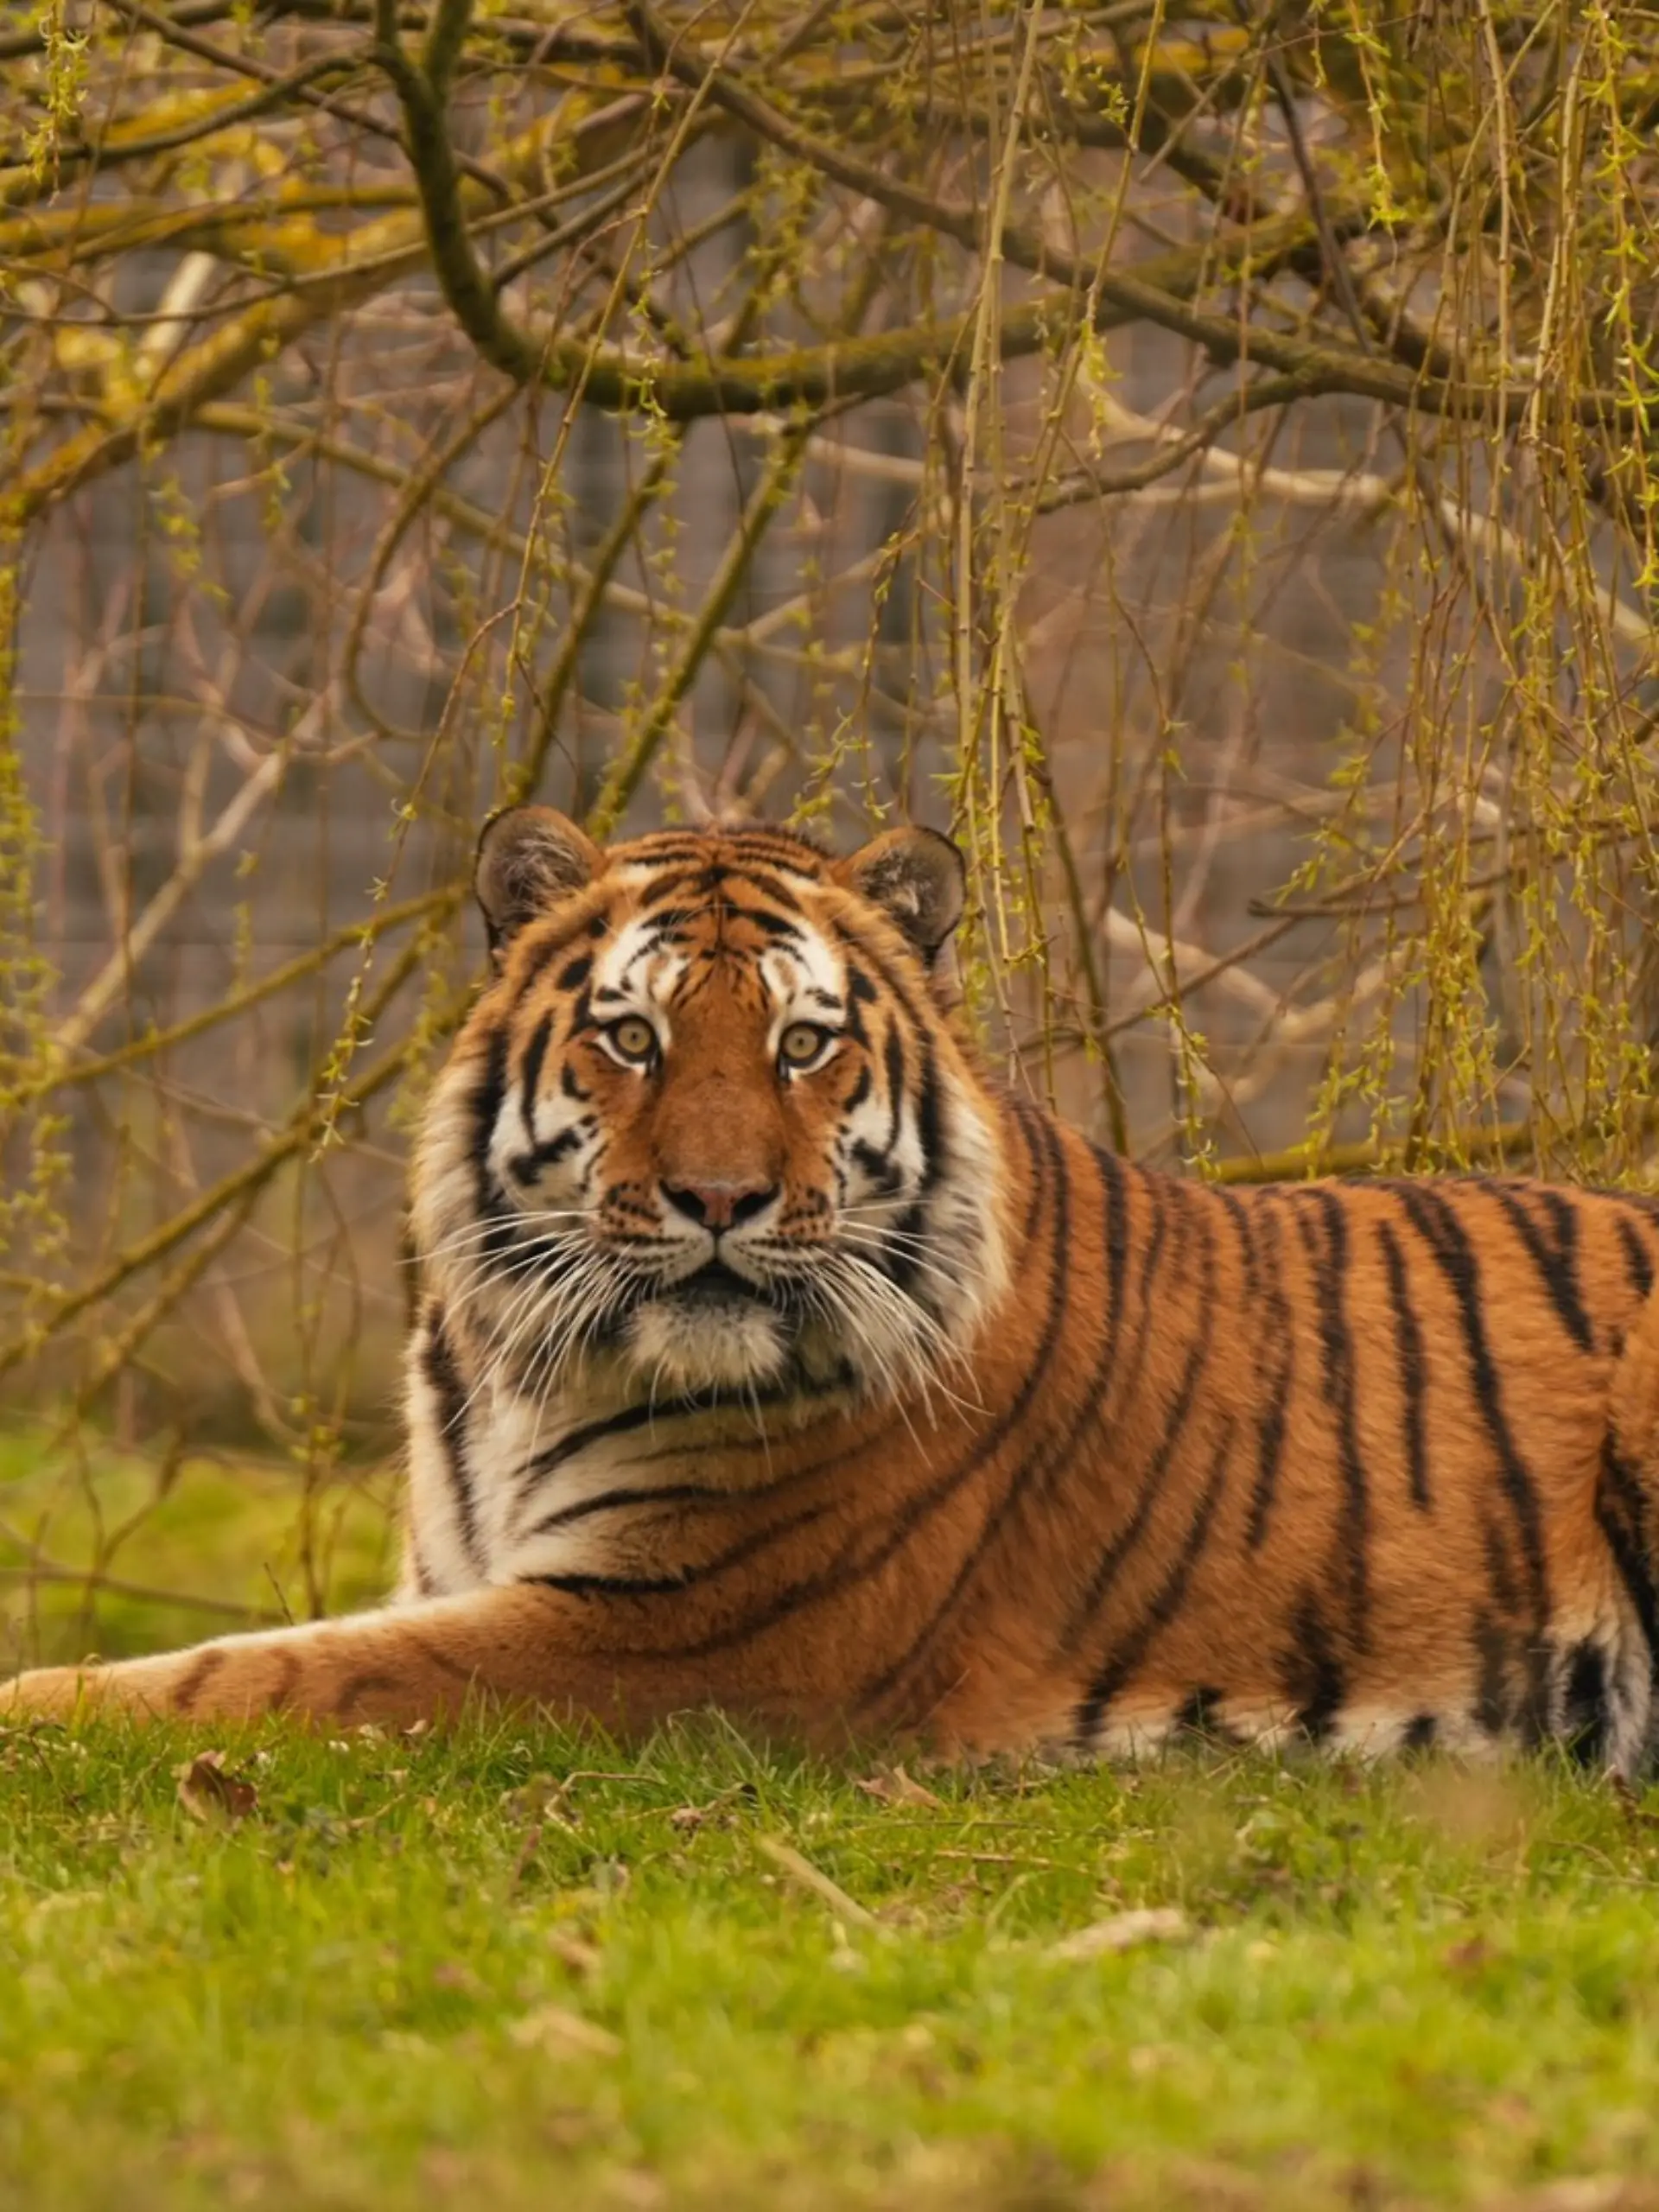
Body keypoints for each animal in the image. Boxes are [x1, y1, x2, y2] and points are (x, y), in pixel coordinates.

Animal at [7, 803, 1659, 1774]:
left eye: (802, 1045)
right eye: (634, 1038)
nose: (721, 1199)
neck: (518, 1374)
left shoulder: (657, 1635)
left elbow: (246, 1680)